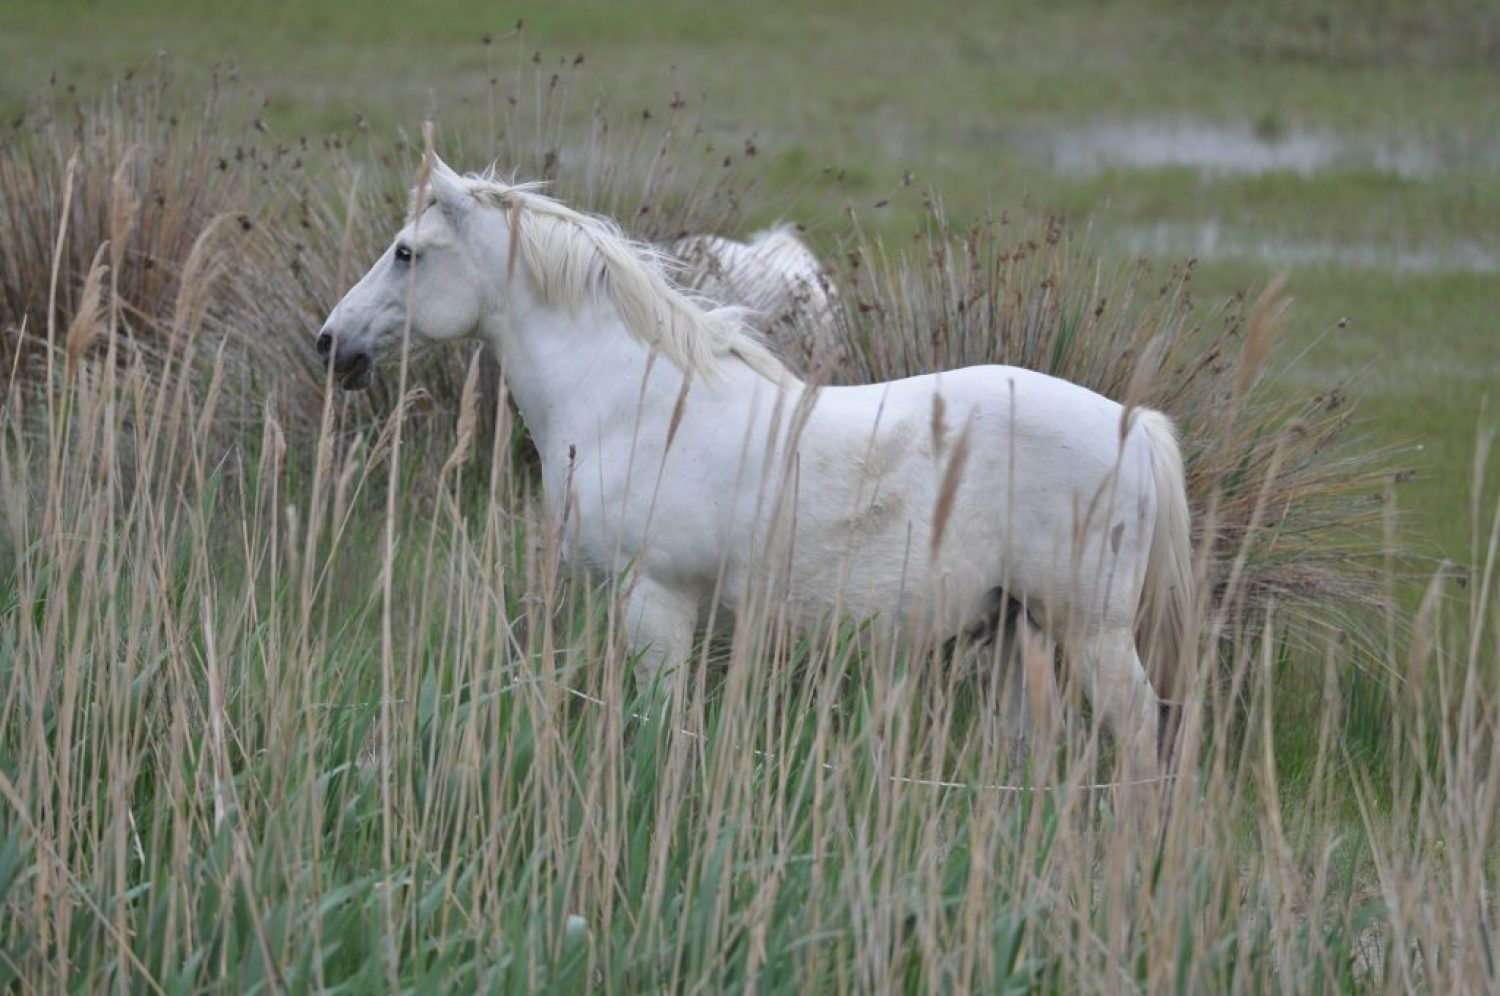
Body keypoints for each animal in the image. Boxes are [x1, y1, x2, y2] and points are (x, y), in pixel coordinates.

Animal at [316, 157, 1194, 768]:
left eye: (405, 253)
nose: (331, 343)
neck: (630, 400)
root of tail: (1135, 427)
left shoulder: (656, 605)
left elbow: (662, 728)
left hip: (1090, 632)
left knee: (1141, 730)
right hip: (1018, 628)